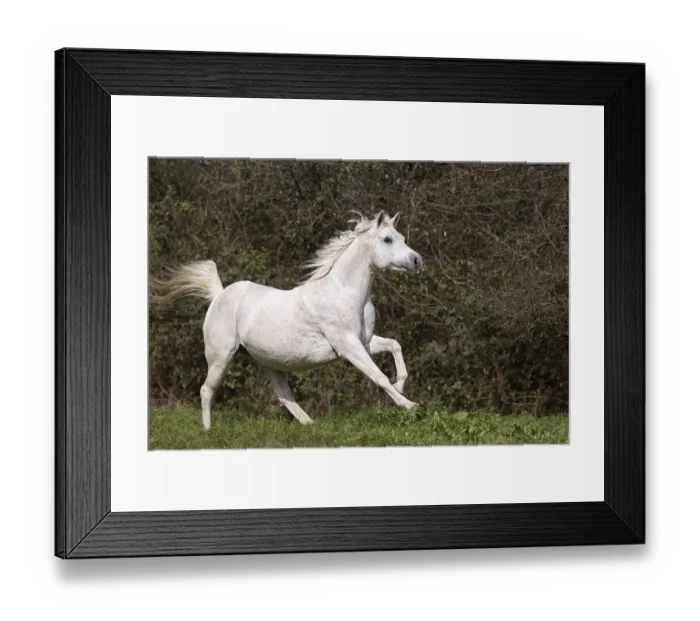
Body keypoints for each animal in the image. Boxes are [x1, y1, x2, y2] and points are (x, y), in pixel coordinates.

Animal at [150, 211, 424, 429]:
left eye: (403, 238)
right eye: (387, 239)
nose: (417, 261)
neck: (343, 293)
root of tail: (219, 294)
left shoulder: (364, 342)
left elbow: (395, 345)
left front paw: (401, 385)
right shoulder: (348, 346)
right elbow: (379, 376)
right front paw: (410, 405)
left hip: (272, 362)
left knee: (282, 394)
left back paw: (310, 424)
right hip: (221, 355)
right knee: (207, 390)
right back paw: (208, 431)